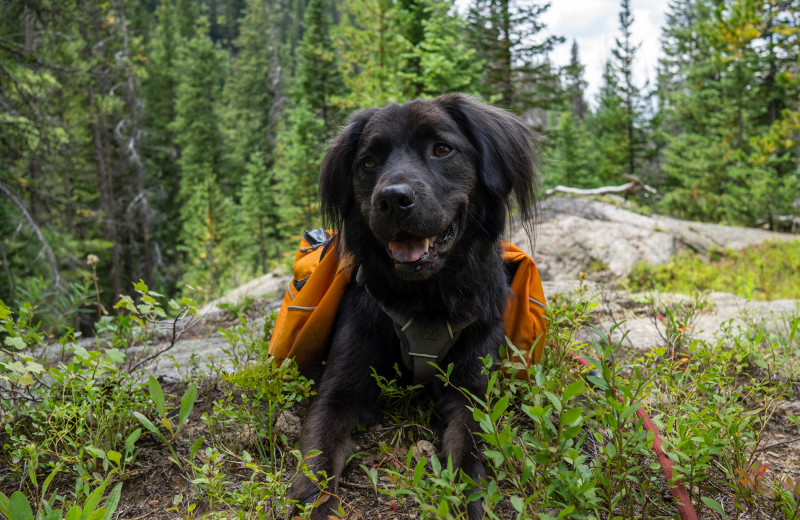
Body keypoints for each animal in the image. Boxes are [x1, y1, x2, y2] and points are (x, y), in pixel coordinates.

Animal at [288, 95, 536, 516]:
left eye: (442, 149)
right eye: (368, 162)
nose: (392, 199)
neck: (425, 296)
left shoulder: (471, 390)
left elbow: (469, 456)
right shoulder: (337, 391)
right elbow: (316, 468)